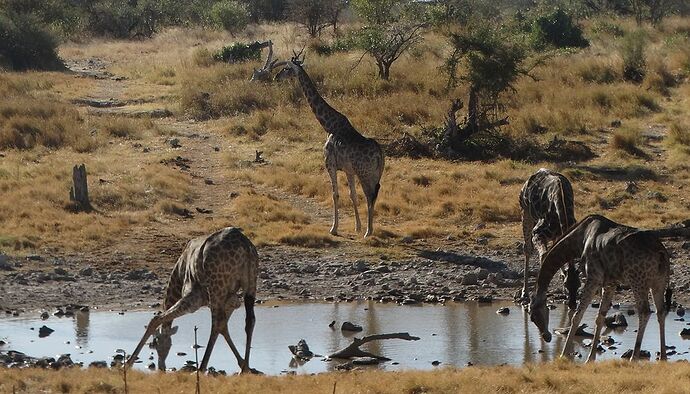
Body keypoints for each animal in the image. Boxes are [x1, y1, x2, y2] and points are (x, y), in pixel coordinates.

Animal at [126, 226, 258, 374]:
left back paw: (201, 368)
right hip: (250, 282)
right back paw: (243, 369)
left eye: (154, 344)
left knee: (216, 322)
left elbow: (156, 319)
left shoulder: (194, 297)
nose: (161, 367)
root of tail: (245, 246)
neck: (179, 272)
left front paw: (127, 363)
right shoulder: (232, 300)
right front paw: (243, 364)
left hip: (216, 287)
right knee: (249, 320)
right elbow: (224, 328)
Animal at [274, 53, 384, 239]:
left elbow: (335, 194)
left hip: (365, 173)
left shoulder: (330, 164)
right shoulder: (348, 169)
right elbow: (352, 195)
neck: (329, 126)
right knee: (375, 194)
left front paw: (334, 228)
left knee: (370, 196)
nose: (276, 77)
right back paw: (368, 229)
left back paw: (369, 232)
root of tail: (379, 154)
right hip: (376, 174)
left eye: (287, 68)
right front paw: (357, 226)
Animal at [516, 168, 576, 310]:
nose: (572, 304)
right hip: (525, 212)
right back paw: (525, 293)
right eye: (569, 284)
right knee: (527, 248)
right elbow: (544, 255)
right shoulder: (537, 233)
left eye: (578, 285)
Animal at [528, 215, 688, 364]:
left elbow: (577, 316)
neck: (579, 240)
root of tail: (662, 253)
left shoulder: (594, 277)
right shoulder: (610, 283)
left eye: (533, 316)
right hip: (657, 283)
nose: (547, 337)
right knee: (660, 312)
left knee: (644, 311)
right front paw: (590, 358)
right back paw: (663, 357)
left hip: (637, 280)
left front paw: (563, 354)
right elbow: (600, 317)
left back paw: (634, 357)